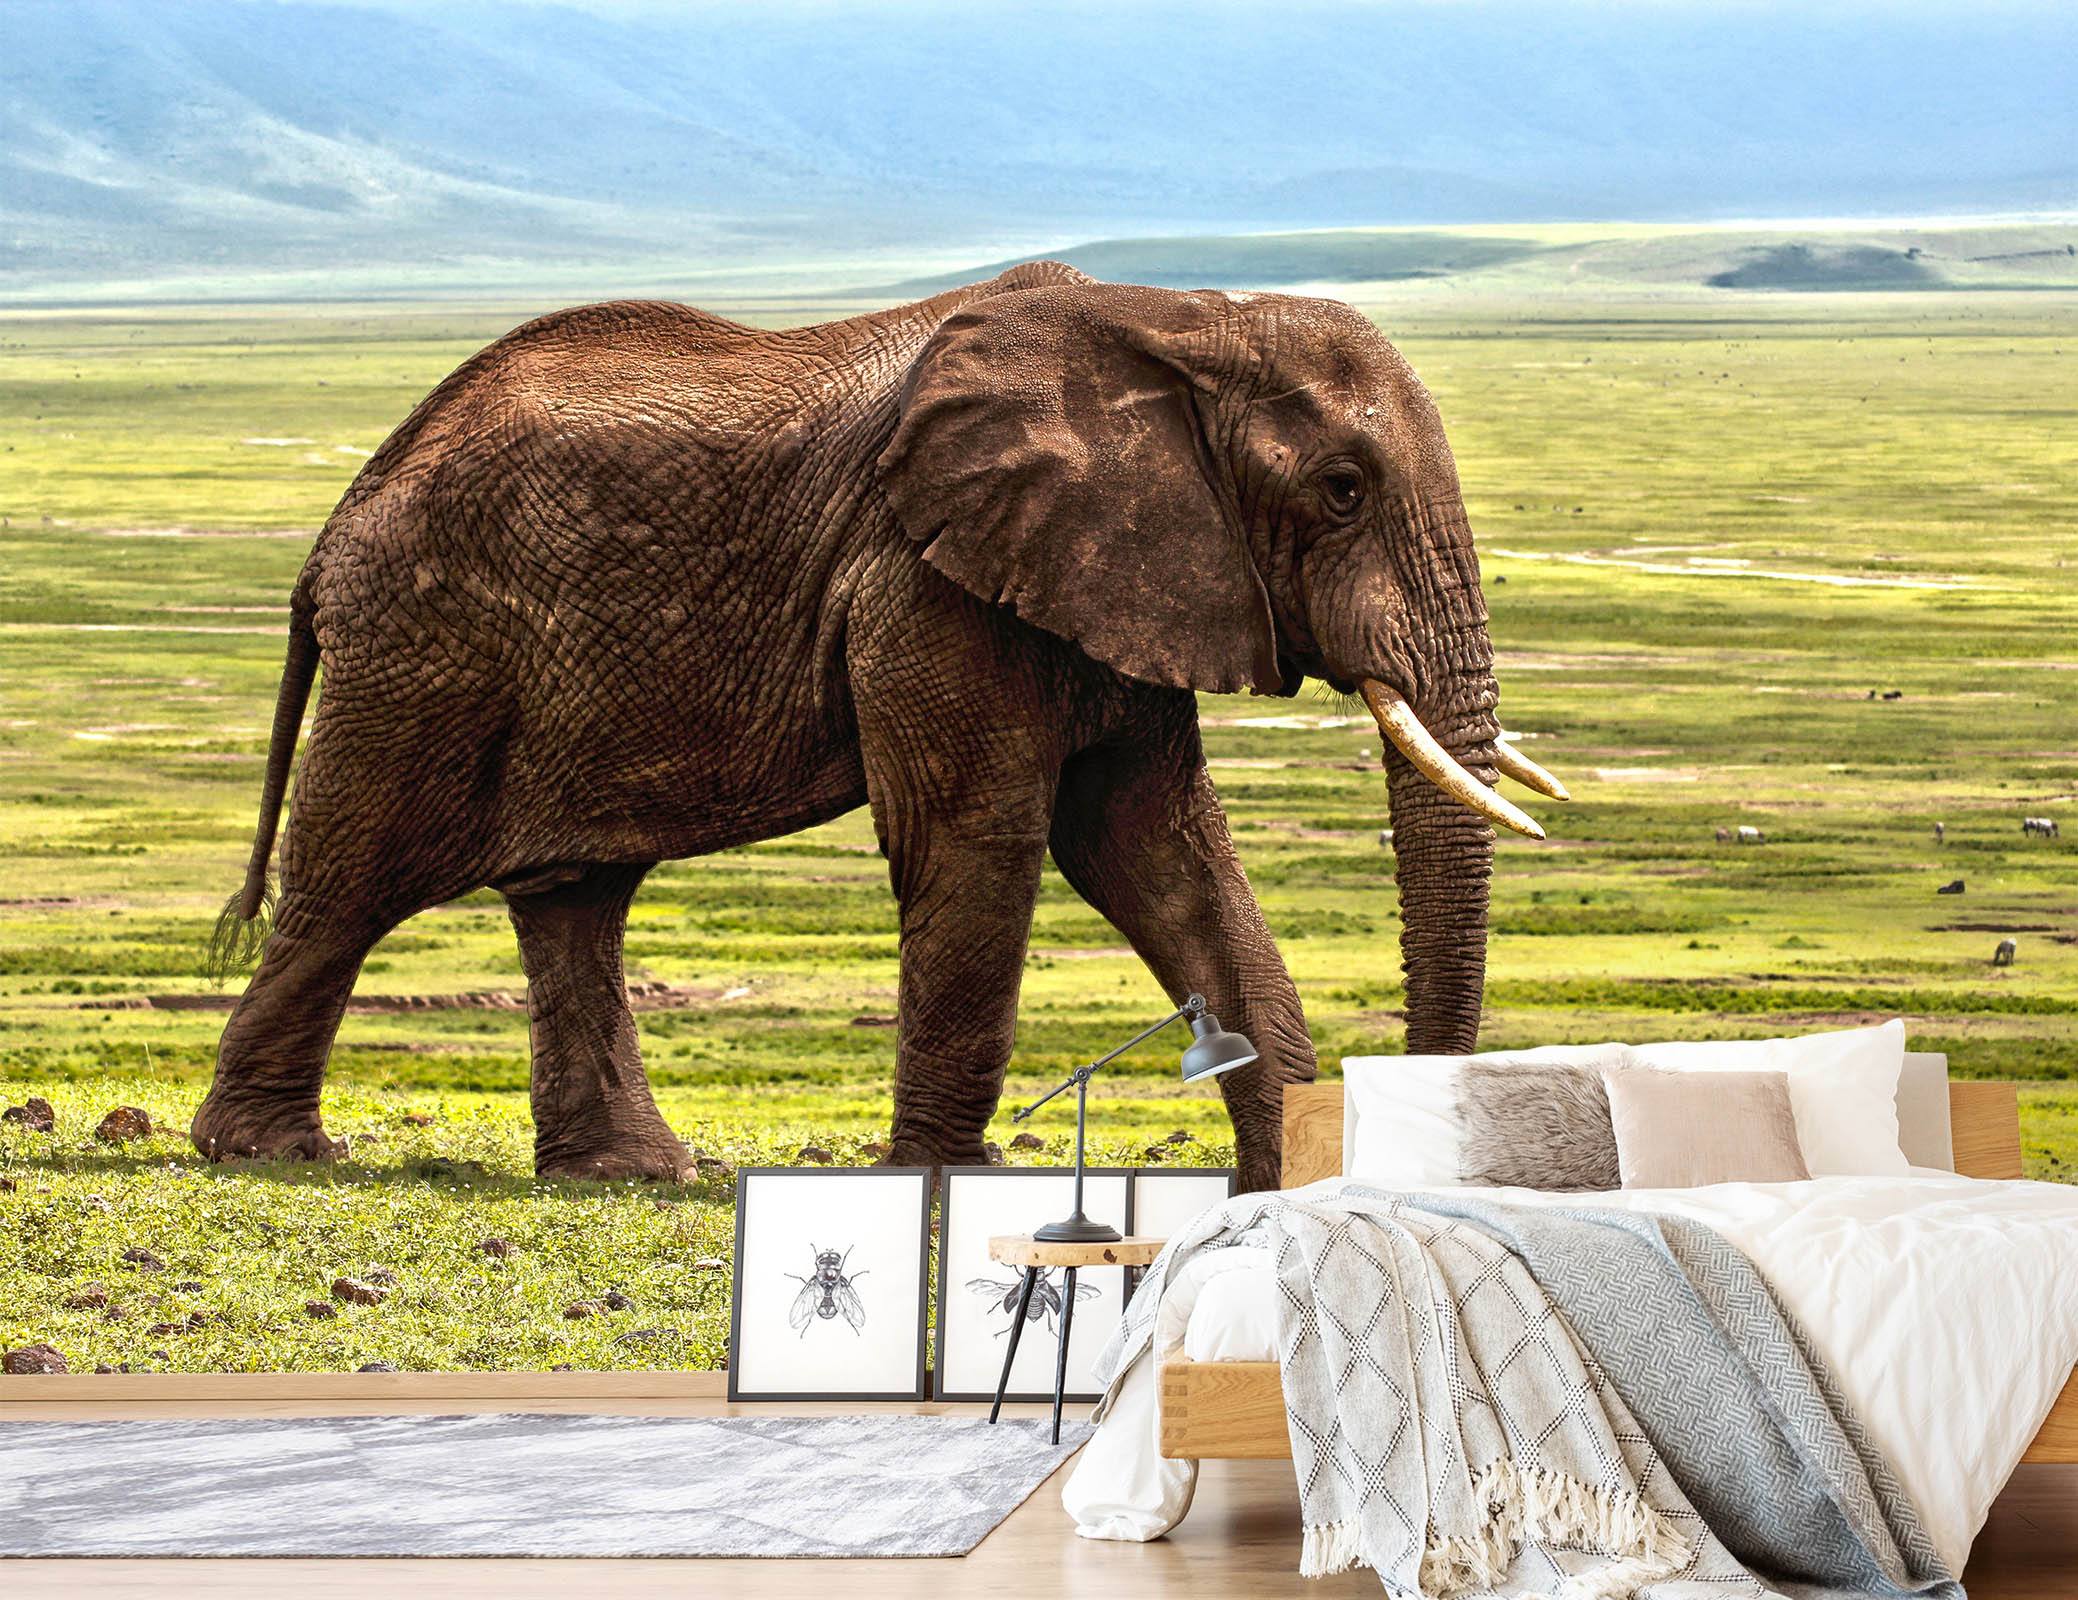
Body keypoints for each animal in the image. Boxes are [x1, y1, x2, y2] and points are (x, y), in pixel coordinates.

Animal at [191, 262, 1564, 1192]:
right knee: (352, 881)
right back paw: (270, 1153)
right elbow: (984, 838)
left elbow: (1160, 853)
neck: (1176, 318)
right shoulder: (925, 577)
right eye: (1340, 490)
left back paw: (629, 1173)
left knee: (573, 895)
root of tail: (342, 515)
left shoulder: (1118, 577)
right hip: (425, 647)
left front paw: (1280, 1187)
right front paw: (943, 1185)